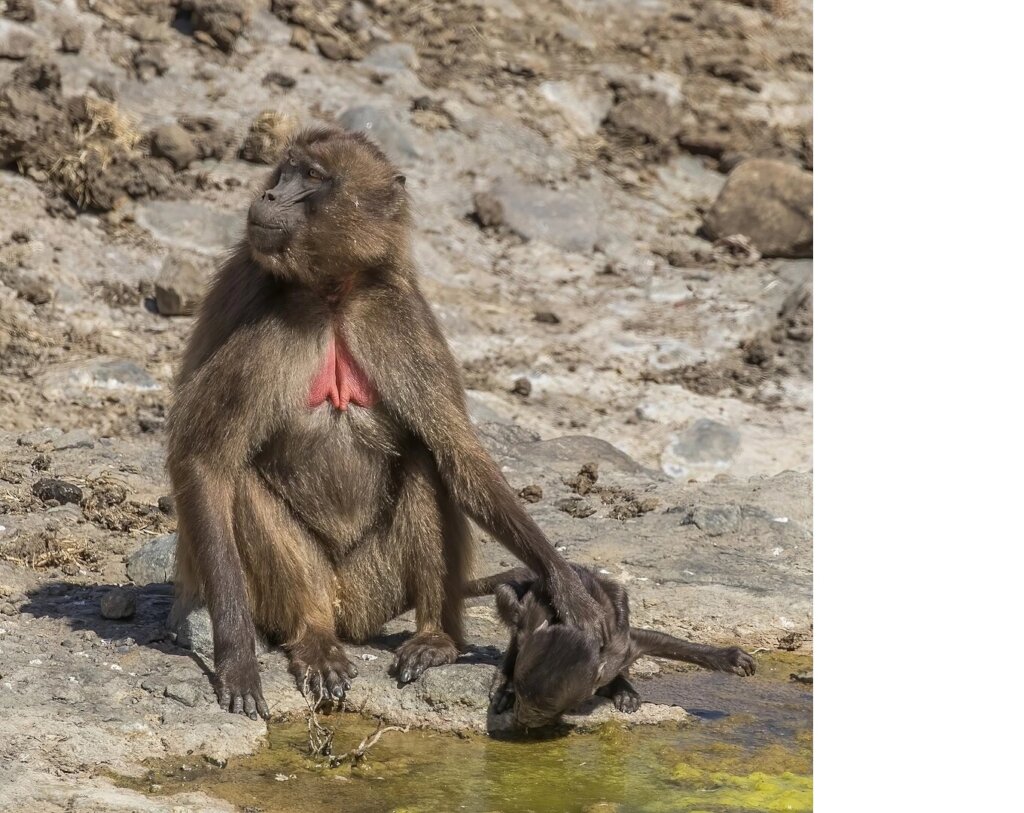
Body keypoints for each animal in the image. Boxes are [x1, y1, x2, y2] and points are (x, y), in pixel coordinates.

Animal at [165, 126, 604, 720]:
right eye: (286, 169)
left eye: (312, 177)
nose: (269, 196)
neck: (332, 293)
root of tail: (347, 614)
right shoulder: (271, 320)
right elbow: (205, 461)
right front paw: (236, 657)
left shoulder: (397, 316)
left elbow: (460, 457)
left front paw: (567, 587)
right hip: (315, 591)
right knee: (243, 487)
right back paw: (313, 638)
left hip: (375, 587)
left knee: (426, 458)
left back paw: (436, 638)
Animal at [466, 565, 755, 729]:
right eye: (523, 698)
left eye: (545, 709)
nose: (522, 720)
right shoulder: (529, 628)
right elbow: (516, 642)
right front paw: (505, 687)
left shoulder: (620, 646)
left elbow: (653, 641)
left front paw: (730, 657)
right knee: (506, 595)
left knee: (619, 594)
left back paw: (623, 689)